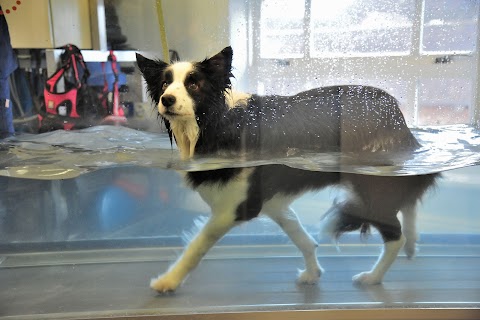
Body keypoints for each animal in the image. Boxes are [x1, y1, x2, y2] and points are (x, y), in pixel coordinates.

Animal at [136, 46, 438, 294]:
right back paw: (412, 243)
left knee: (395, 233)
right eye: (165, 82)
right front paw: (313, 273)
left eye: (194, 83)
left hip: (370, 187)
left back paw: (373, 276)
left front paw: (168, 281)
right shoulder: (274, 203)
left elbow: (196, 247)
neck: (215, 123)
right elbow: (302, 239)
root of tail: (396, 112)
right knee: (409, 200)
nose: (167, 99)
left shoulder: (236, 208)